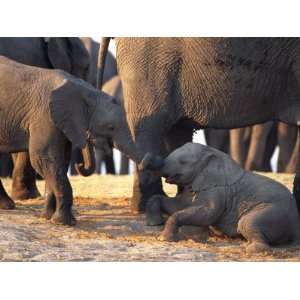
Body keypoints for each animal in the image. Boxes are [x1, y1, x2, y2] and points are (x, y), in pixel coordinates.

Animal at [140, 142, 300, 252]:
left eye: (183, 162)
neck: (211, 154)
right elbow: (178, 205)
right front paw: (154, 224)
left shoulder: (218, 190)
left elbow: (208, 214)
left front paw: (163, 239)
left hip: (275, 212)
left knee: (246, 222)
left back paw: (250, 249)